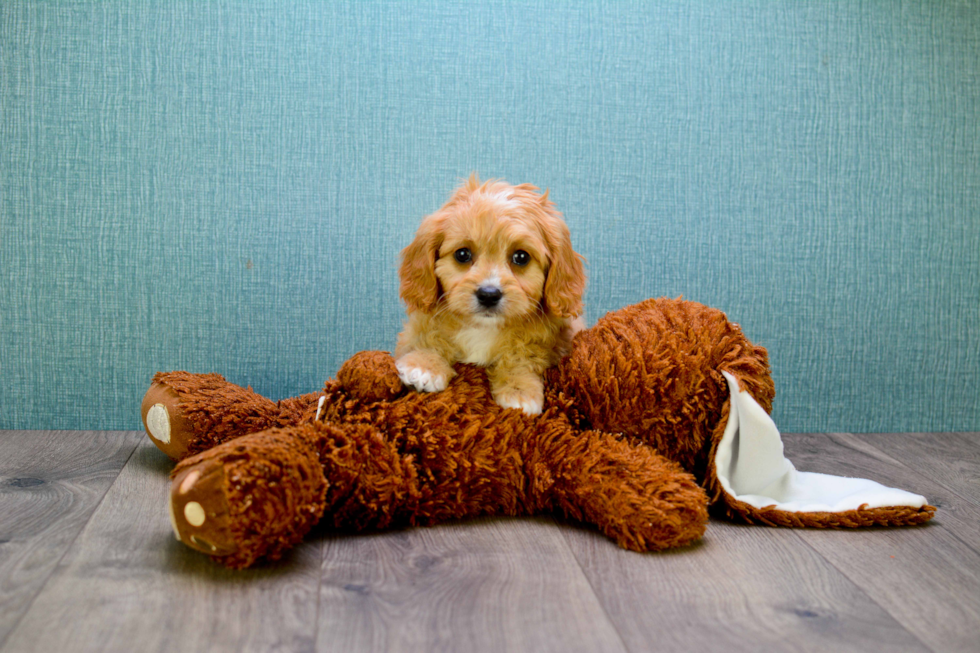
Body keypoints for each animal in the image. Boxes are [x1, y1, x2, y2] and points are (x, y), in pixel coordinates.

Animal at [394, 174, 584, 412]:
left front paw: (520, 389)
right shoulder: (421, 325)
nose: (488, 294)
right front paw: (424, 365)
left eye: (521, 257)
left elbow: (522, 355)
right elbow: (429, 336)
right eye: (462, 254)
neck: (483, 328)